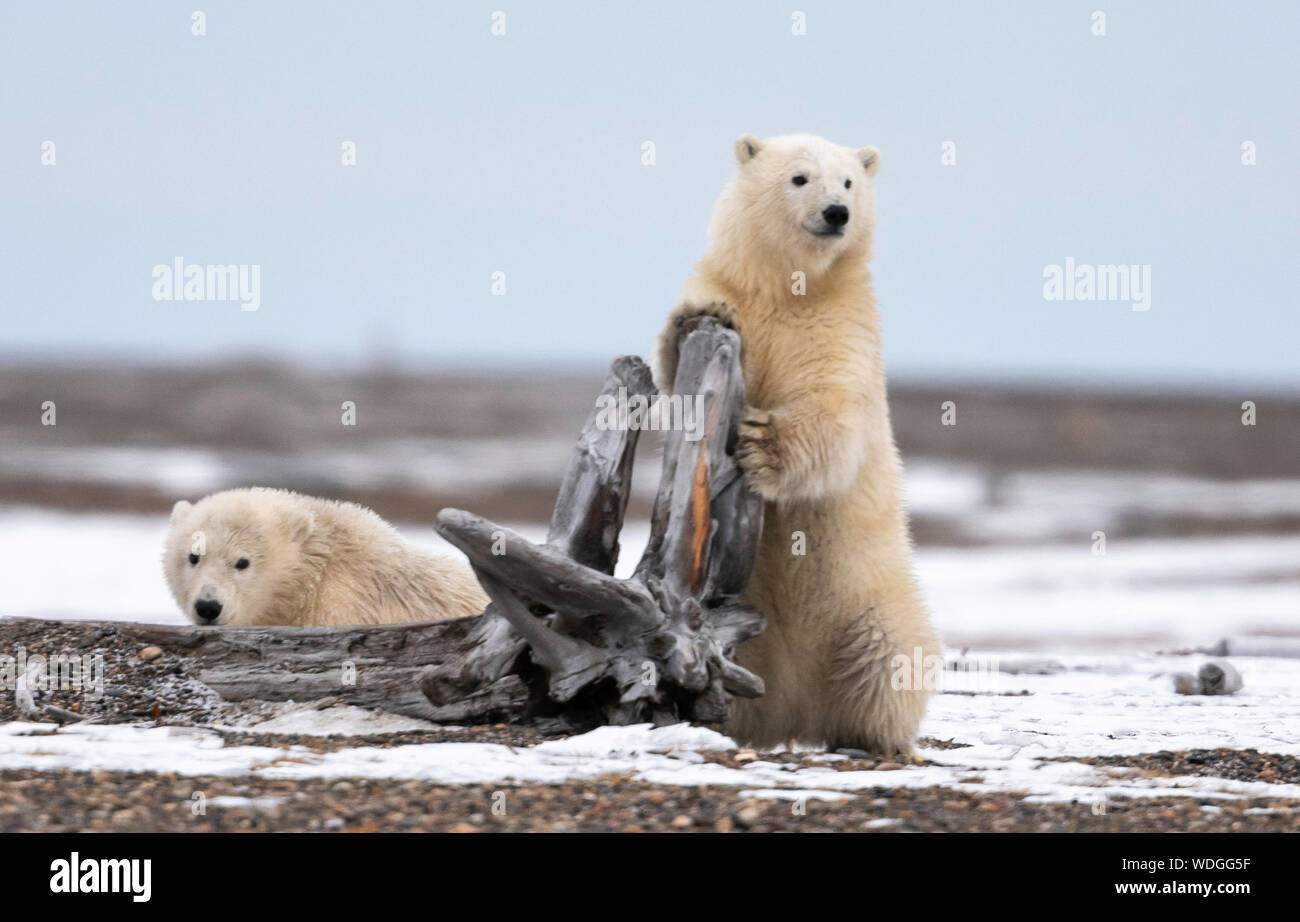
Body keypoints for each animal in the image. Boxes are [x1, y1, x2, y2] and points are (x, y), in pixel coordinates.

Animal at [655, 133, 939, 755]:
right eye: (800, 178)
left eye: (850, 181)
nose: (837, 213)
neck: (786, 288)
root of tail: (795, 713)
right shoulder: (735, 290)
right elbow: (673, 374)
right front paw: (696, 317)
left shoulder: (839, 326)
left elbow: (832, 412)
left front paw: (761, 444)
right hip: (732, 631)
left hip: (873, 603)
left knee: (891, 658)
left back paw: (877, 738)